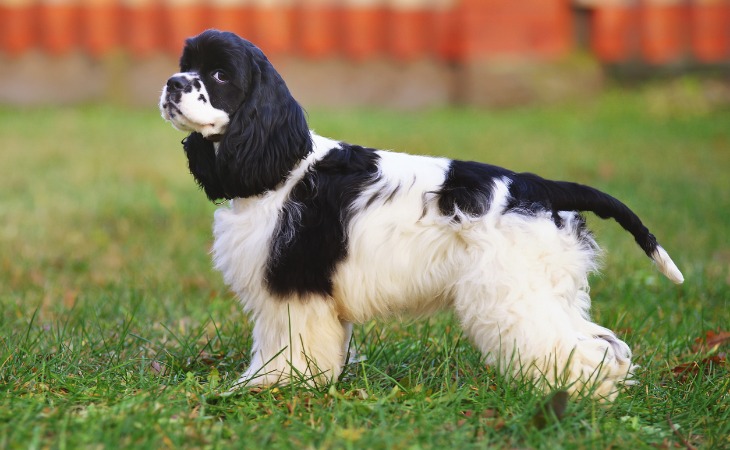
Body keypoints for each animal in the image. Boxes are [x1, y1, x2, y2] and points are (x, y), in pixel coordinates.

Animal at [159, 29, 684, 400]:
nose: (172, 83)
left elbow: (285, 346)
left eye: (219, 76)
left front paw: (271, 385)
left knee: (579, 348)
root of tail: (536, 186)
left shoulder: (292, 287)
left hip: (513, 295)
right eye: (186, 66)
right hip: (546, 292)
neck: (281, 164)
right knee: (607, 344)